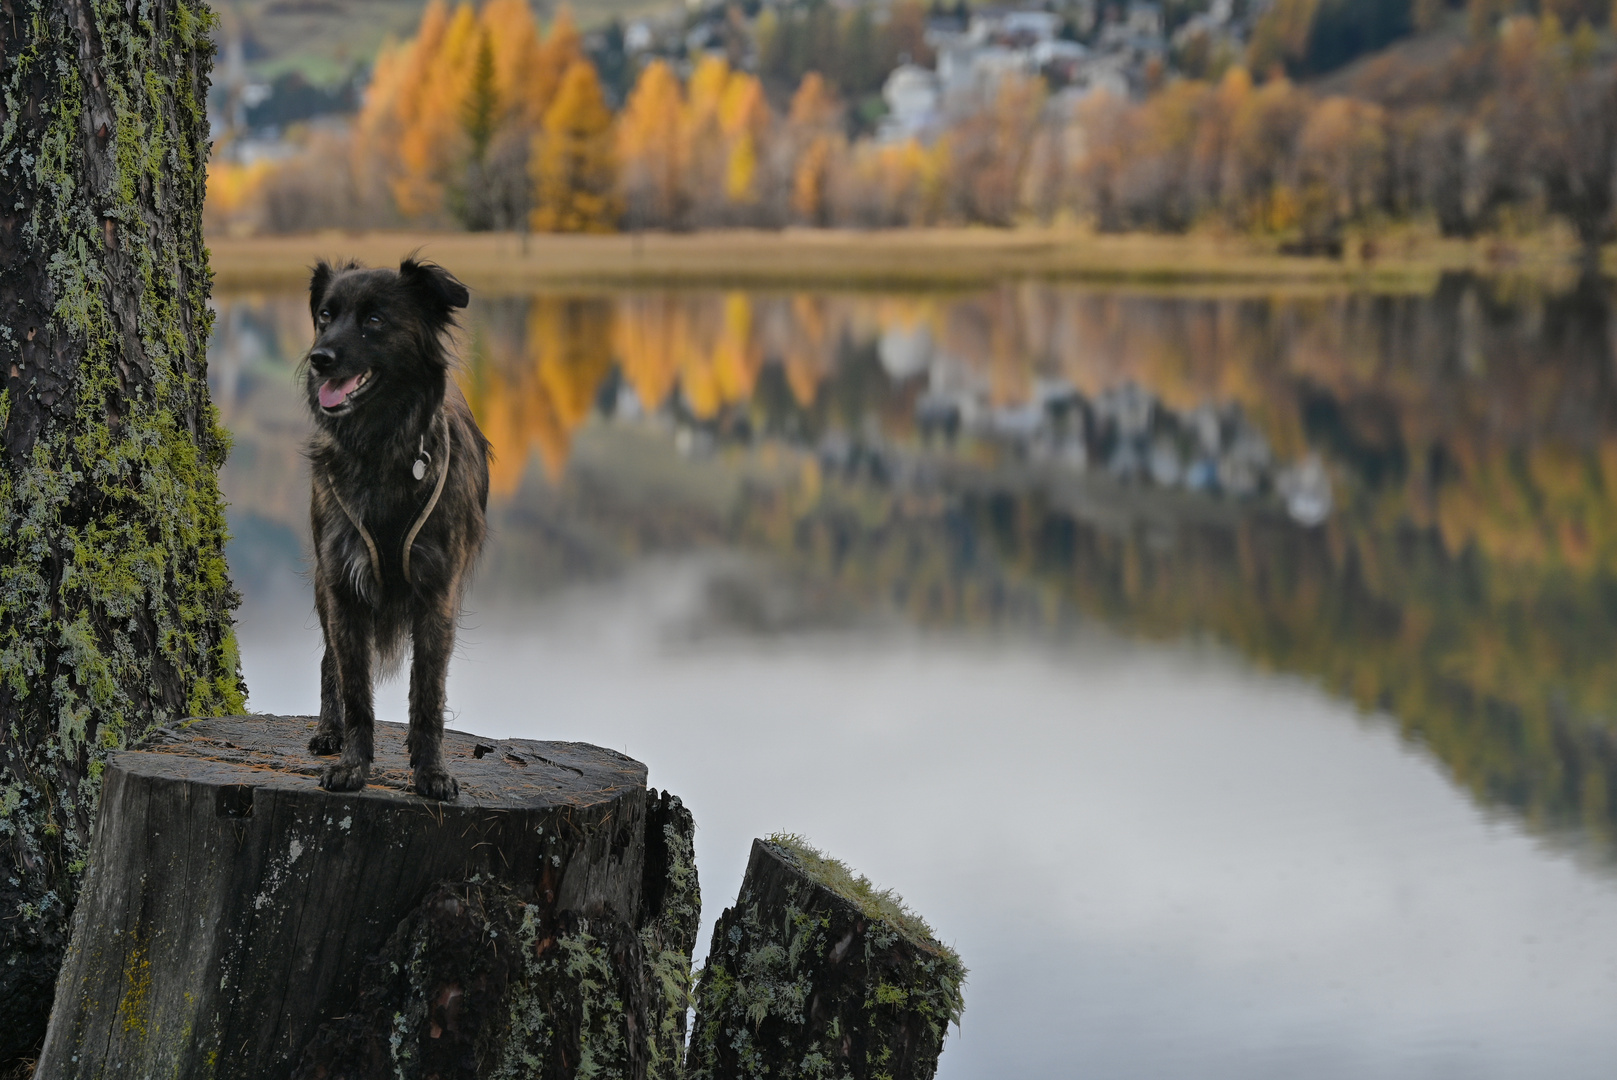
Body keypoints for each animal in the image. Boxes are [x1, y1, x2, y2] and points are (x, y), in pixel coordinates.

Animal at [299, 258, 485, 801]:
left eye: (375, 320)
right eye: (325, 314)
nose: (319, 358)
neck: (379, 445)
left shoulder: (437, 595)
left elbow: (427, 693)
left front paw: (431, 771)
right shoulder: (342, 584)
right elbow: (356, 688)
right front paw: (351, 764)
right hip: (324, 590)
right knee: (329, 664)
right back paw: (329, 731)